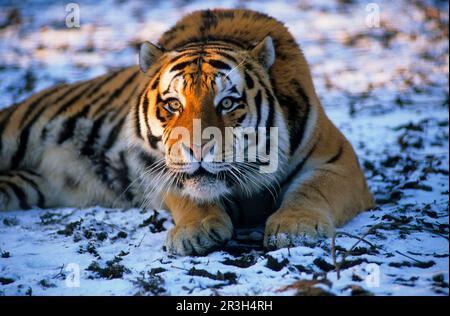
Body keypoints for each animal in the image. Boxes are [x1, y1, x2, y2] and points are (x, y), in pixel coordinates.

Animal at [0, 9, 372, 254]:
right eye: (173, 104)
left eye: (227, 102)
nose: (197, 149)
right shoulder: (156, 166)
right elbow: (187, 194)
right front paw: (196, 231)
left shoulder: (338, 161)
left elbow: (312, 190)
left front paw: (294, 228)